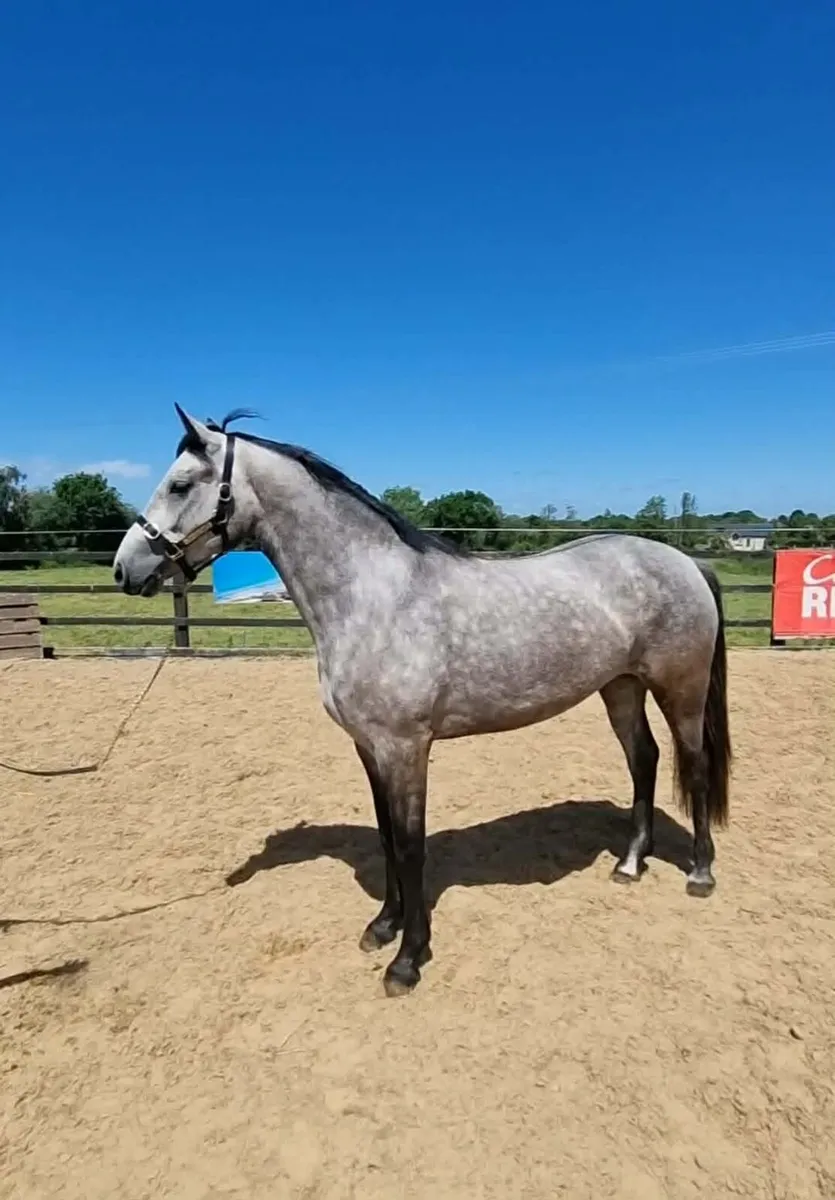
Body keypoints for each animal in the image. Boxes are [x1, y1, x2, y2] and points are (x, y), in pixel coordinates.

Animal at [113, 405, 732, 998]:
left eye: (179, 484)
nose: (125, 568)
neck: (375, 596)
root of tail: (684, 561)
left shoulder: (406, 749)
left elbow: (411, 847)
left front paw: (407, 961)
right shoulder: (370, 748)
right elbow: (387, 837)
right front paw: (383, 927)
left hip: (681, 689)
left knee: (694, 765)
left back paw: (700, 874)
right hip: (621, 687)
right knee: (644, 760)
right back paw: (629, 863)